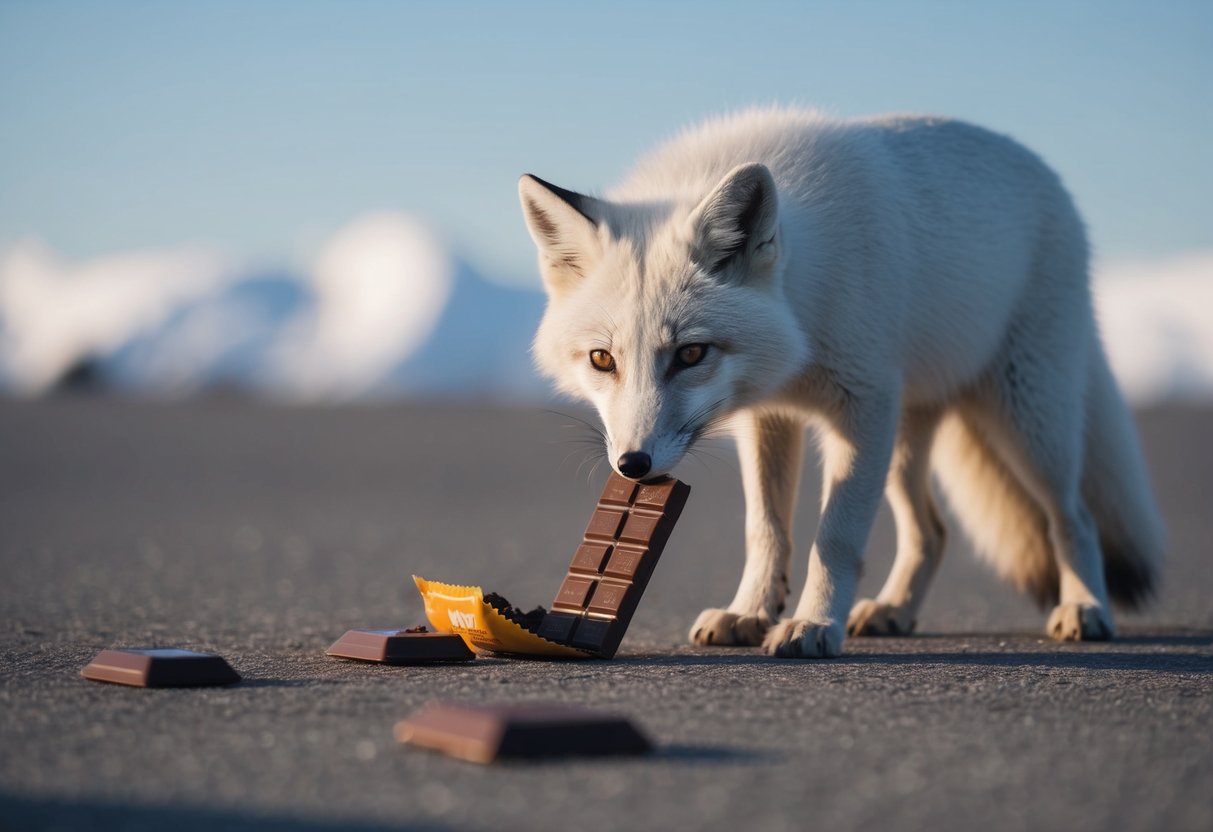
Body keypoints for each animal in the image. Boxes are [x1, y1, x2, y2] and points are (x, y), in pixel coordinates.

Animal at [518, 107, 1164, 658]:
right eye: (602, 360)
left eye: (691, 353)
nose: (633, 466)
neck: (805, 317)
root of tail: (1045, 172)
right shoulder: (771, 416)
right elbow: (766, 530)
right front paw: (751, 612)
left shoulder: (861, 408)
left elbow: (835, 537)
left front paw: (811, 624)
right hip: (905, 443)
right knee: (932, 532)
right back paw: (894, 610)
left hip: (1026, 420)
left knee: (1073, 517)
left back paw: (1085, 608)